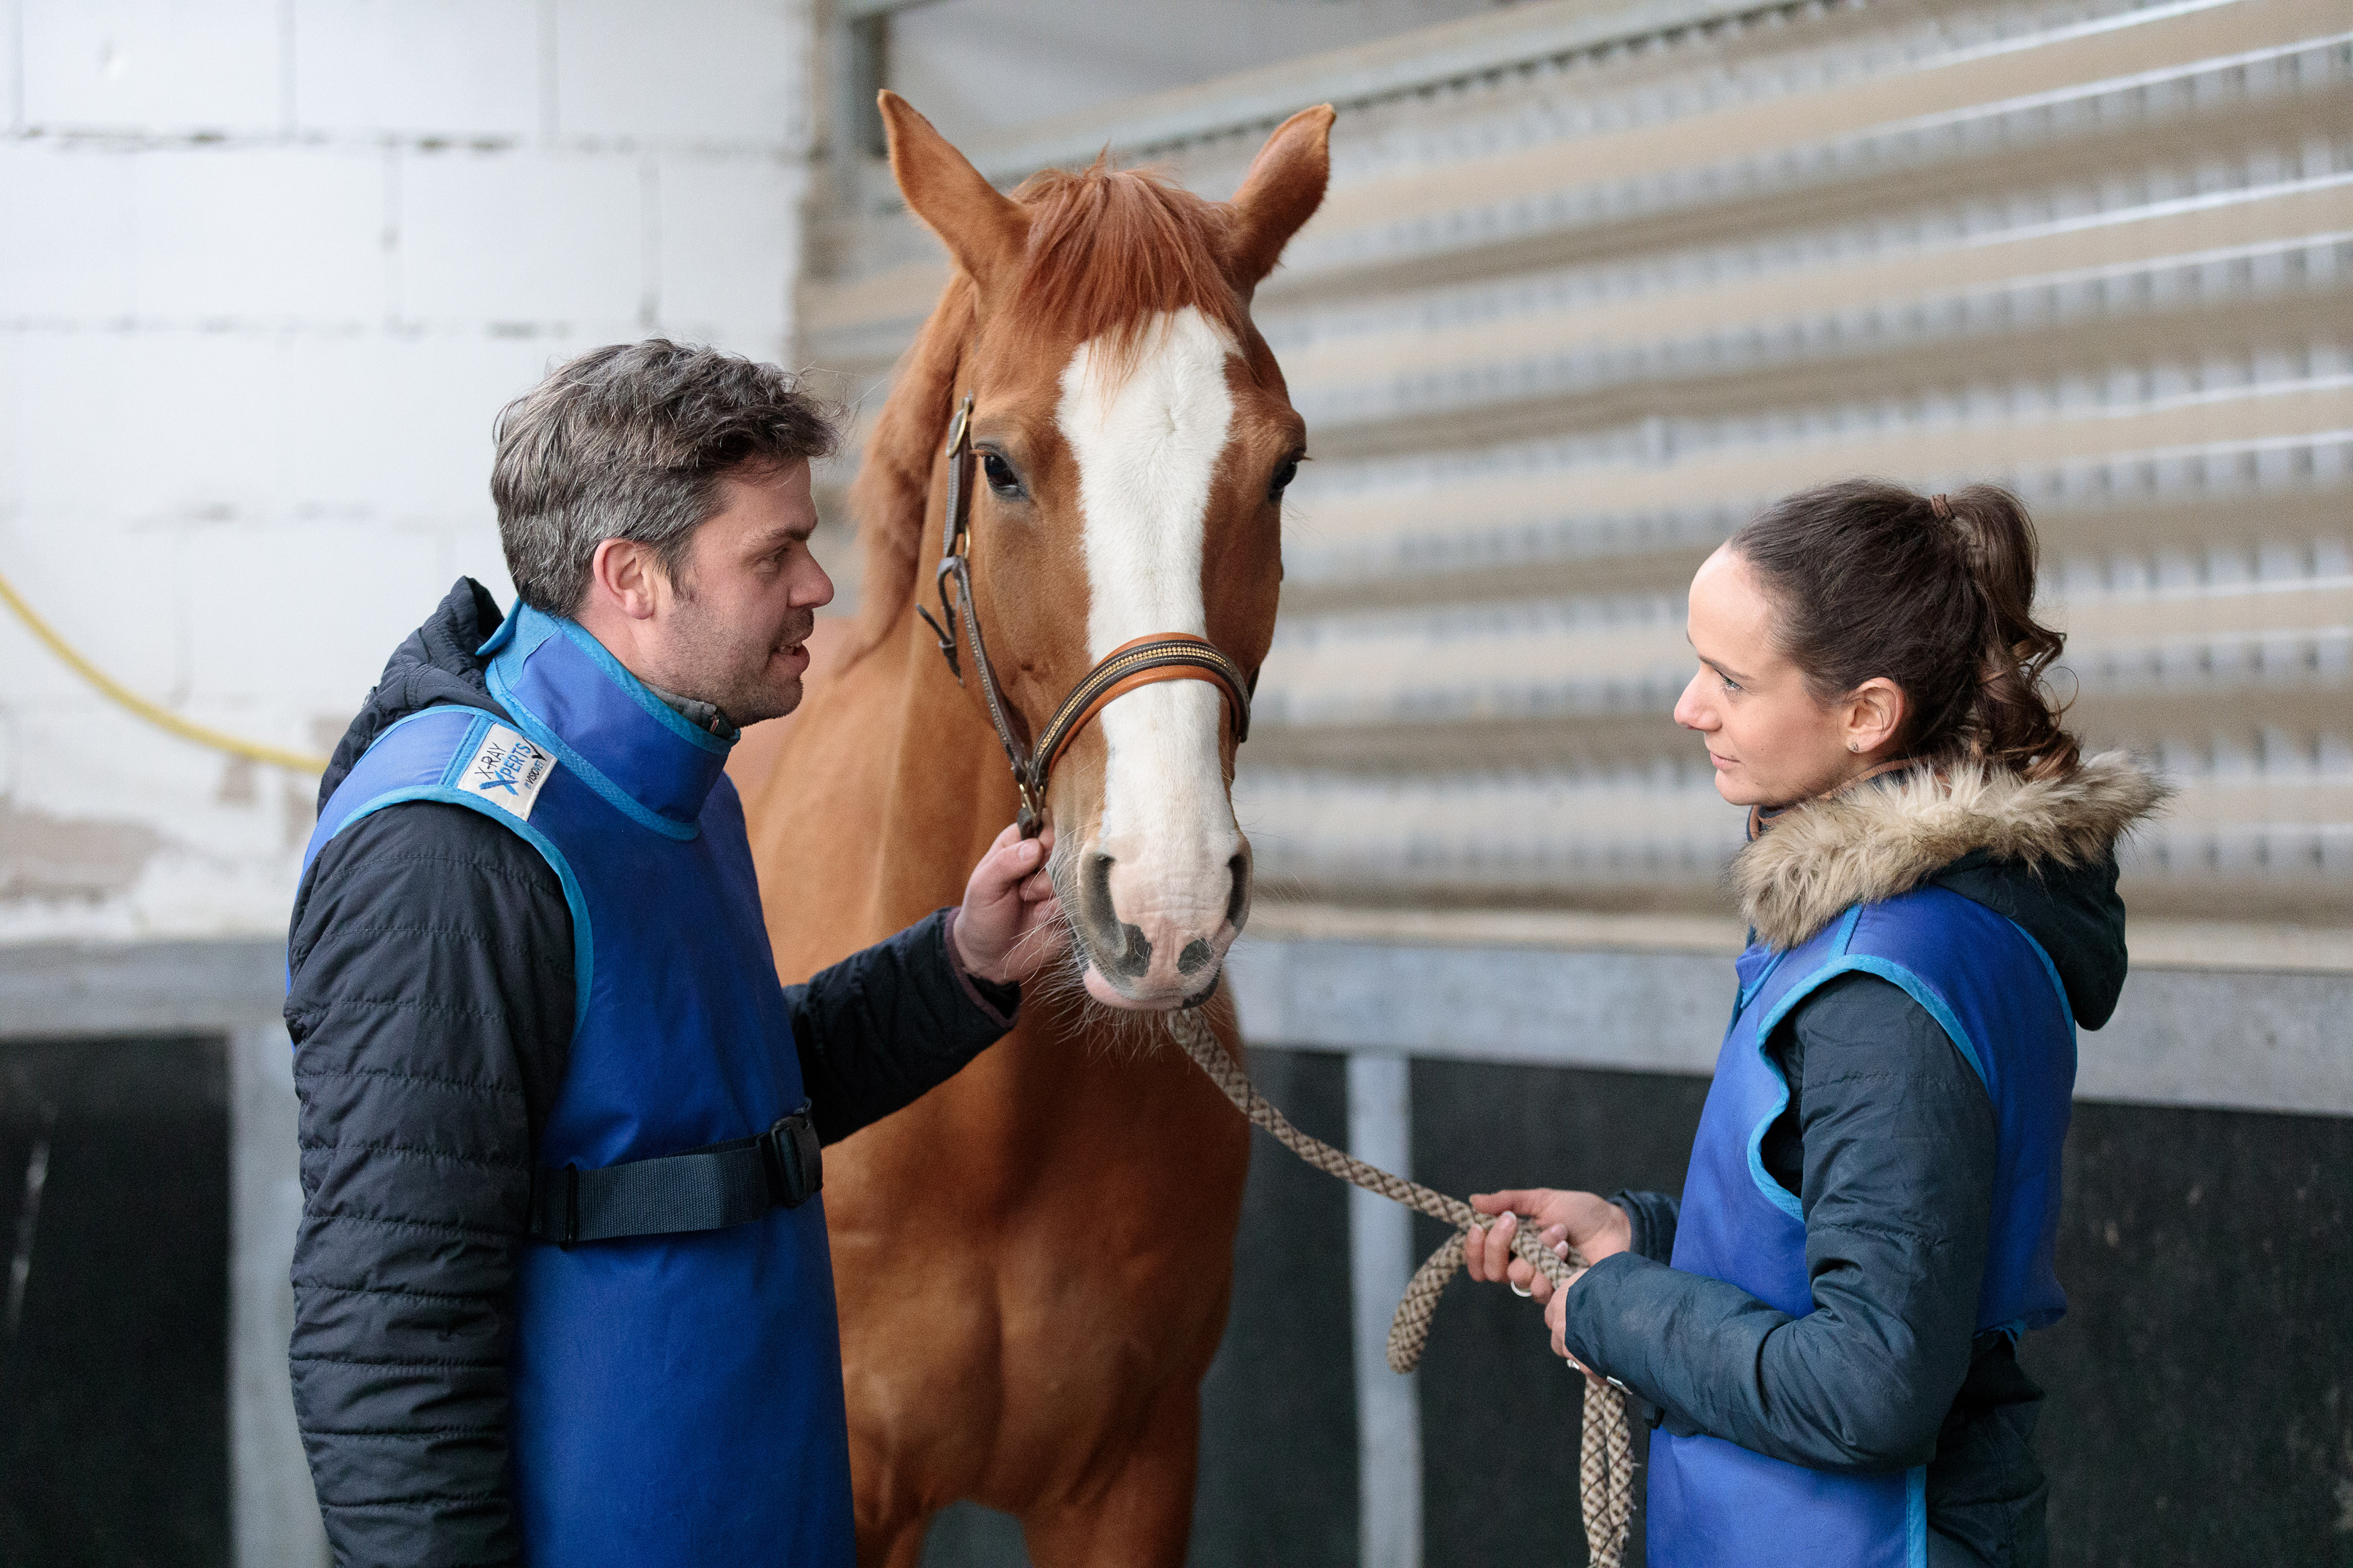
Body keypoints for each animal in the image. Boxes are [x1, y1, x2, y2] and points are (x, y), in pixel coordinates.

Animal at [724, 97, 1336, 1563]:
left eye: (1281, 467)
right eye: (997, 464)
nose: (1166, 899)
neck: (989, 1133)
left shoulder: (1132, 1478)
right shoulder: (858, 1492)